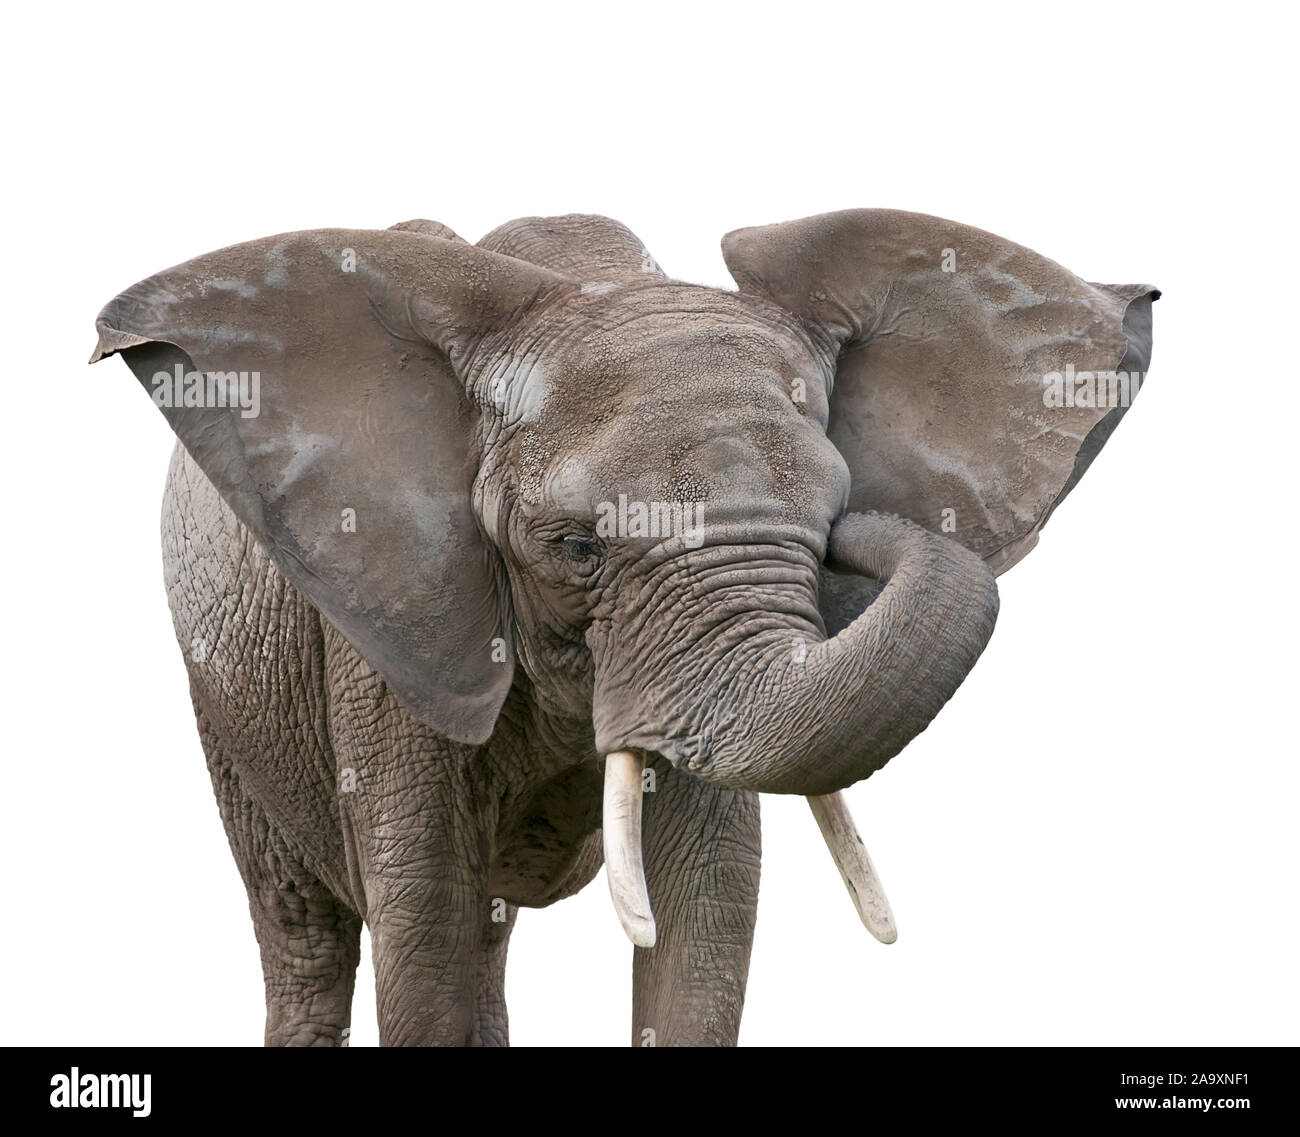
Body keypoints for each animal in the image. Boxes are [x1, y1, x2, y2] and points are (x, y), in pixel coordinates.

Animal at [90, 210, 1157, 1046]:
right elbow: (420, 920)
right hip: (229, 701)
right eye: (574, 549)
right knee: (307, 931)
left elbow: (706, 912)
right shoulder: (392, 629)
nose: (870, 530)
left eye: (826, 529)